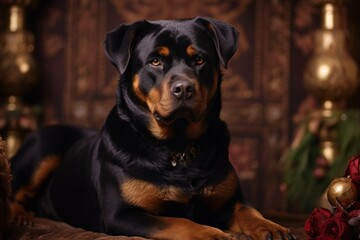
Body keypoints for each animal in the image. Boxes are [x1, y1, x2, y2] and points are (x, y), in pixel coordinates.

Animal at [9, 17, 296, 240]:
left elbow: (248, 210)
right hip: (44, 148)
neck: (177, 146)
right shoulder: (122, 214)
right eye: (155, 61)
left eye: (199, 60)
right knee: (15, 191)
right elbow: (179, 222)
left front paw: (271, 226)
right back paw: (19, 216)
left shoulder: (227, 201)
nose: (184, 88)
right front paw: (211, 233)